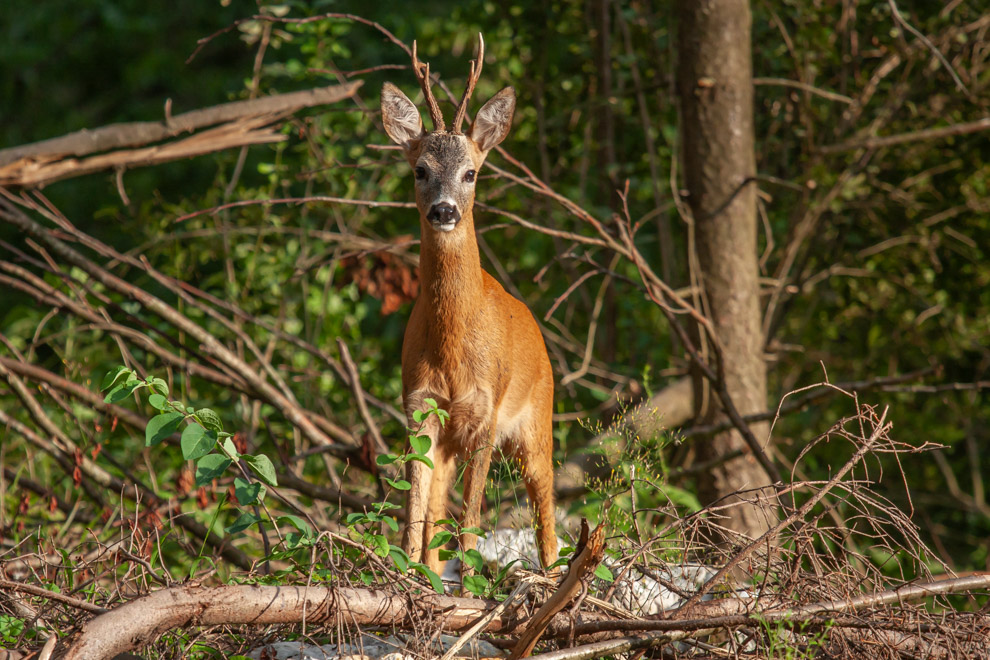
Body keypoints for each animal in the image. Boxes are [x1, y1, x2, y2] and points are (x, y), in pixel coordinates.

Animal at [382, 36, 560, 580]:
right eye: (420, 169)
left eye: (471, 172)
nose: (444, 210)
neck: (452, 351)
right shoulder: (418, 406)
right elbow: (415, 511)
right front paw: (407, 580)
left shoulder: (487, 413)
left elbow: (473, 519)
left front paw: (469, 586)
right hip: (452, 442)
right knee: (435, 514)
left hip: (538, 416)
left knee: (546, 511)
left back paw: (554, 577)